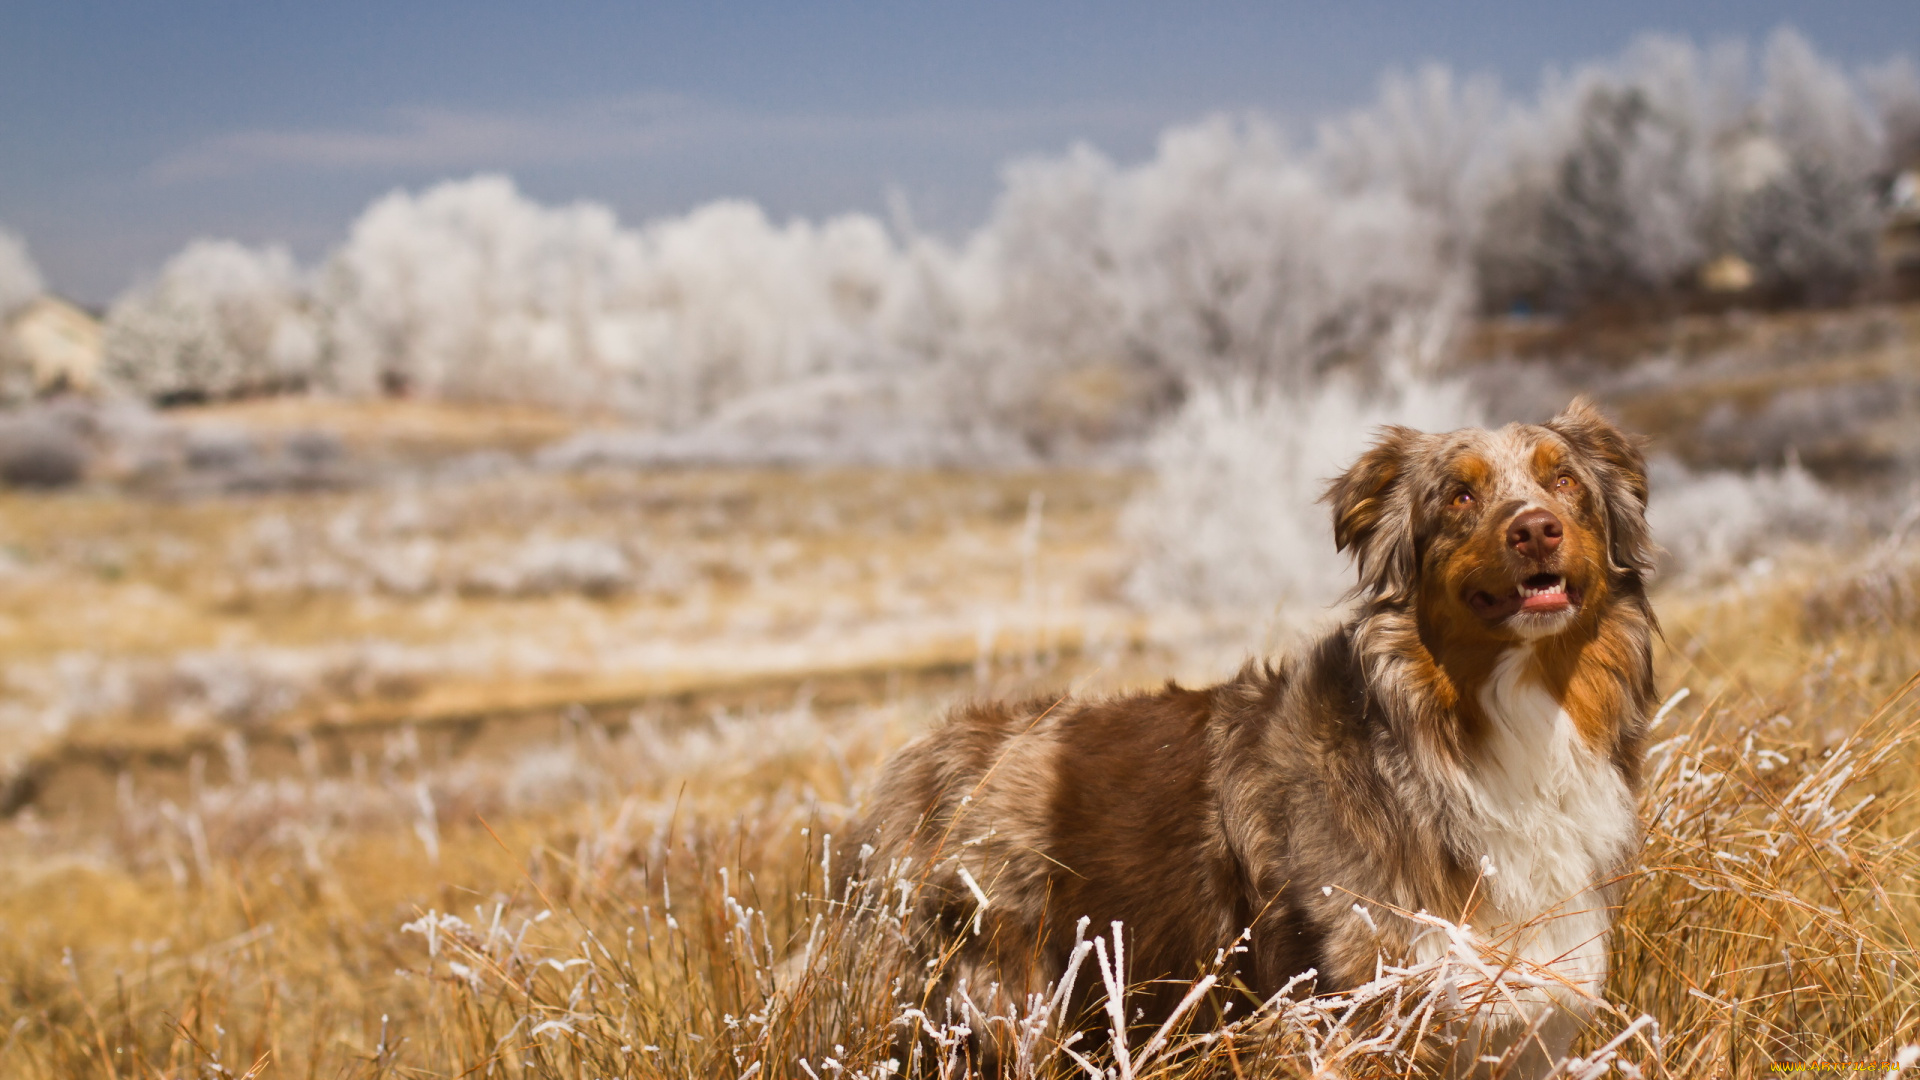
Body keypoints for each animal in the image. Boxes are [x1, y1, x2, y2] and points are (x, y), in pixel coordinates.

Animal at [848, 399, 1658, 1068]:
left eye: (1566, 483)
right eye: (1459, 495)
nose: (1536, 529)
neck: (1480, 728)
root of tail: (923, 752)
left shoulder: (1528, 1020)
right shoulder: (1355, 1012)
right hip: (994, 1001)